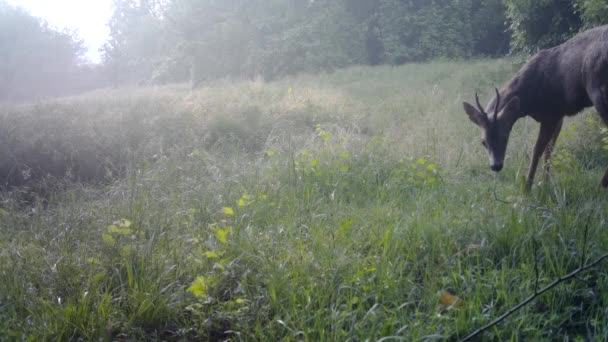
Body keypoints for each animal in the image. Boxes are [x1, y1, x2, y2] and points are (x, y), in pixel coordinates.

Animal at [466, 25, 608, 191]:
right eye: (483, 142)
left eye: (505, 137)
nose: (496, 166)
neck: (528, 100)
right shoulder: (558, 115)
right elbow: (549, 149)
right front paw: (546, 182)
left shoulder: (550, 115)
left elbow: (537, 150)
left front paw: (528, 187)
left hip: (598, 91)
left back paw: (600, 186)